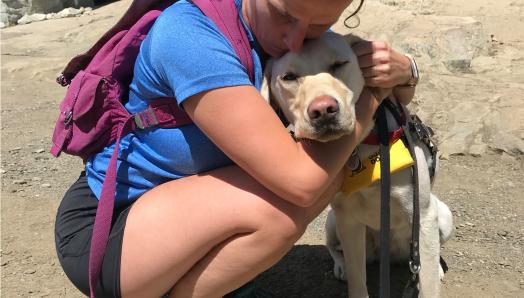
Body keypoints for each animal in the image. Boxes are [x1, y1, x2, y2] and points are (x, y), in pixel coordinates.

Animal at [264, 32, 452, 298]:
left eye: (339, 64)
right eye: (289, 77)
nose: (323, 110)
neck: (362, 148)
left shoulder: (423, 216)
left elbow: (428, 284)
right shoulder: (348, 220)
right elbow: (356, 279)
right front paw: (349, 272)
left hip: (442, 214)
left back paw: (437, 266)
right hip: (333, 222)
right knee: (335, 250)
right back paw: (340, 266)